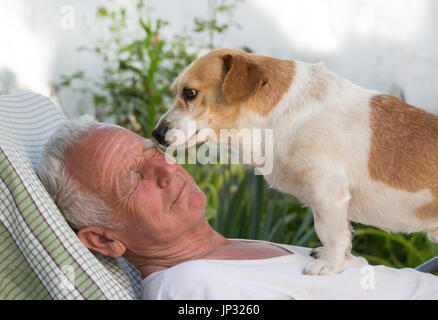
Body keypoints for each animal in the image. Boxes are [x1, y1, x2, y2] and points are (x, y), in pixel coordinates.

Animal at [152, 48, 438, 276]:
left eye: (190, 93)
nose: (156, 133)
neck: (287, 113)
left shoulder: (328, 194)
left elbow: (331, 232)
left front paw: (329, 266)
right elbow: (344, 234)